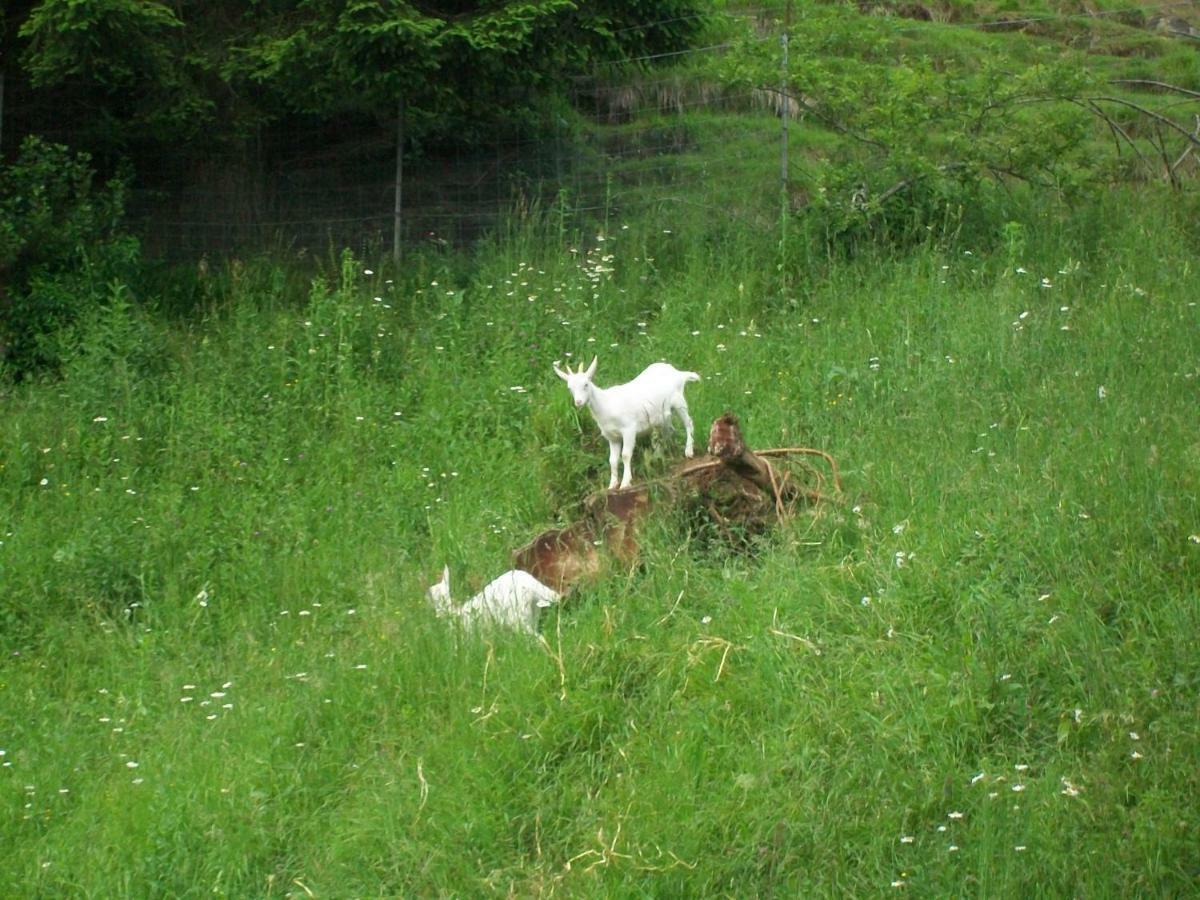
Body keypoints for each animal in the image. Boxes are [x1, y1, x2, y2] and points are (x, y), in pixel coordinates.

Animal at [554, 355, 700, 489]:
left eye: (586, 384)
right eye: (569, 388)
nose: (578, 402)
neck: (606, 404)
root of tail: (677, 373)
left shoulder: (629, 429)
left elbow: (625, 455)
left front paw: (625, 482)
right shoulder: (612, 437)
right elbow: (612, 460)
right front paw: (612, 485)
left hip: (679, 402)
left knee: (689, 423)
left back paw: (688, 451)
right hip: (661, 417)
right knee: (668, 431)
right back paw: (660, 455)